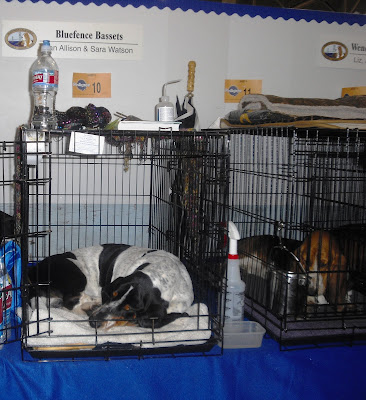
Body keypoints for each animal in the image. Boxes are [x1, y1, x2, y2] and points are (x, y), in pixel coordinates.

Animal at [29, 245, 194, 330]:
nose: (93, 321)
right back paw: (91, 304)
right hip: (77, 273)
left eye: (129, 308)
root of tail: (33, 271)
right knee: (71, 300)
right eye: (112, 295)